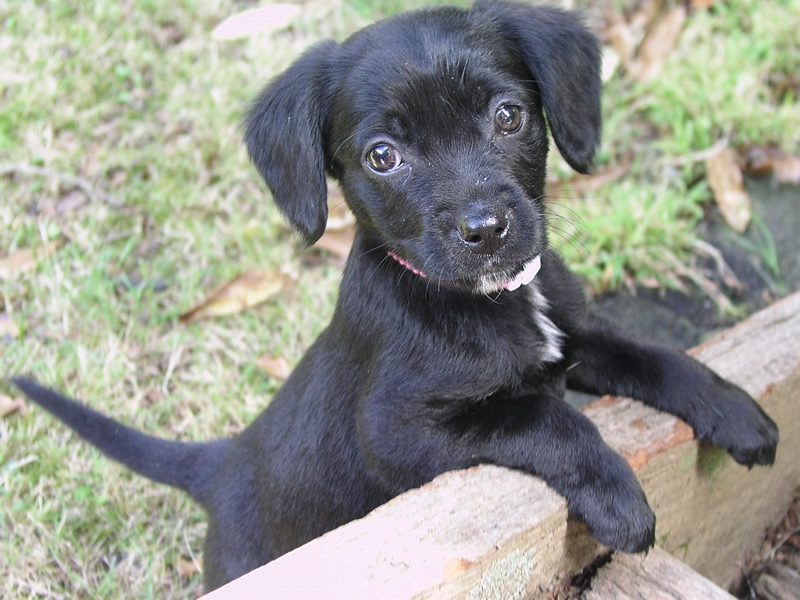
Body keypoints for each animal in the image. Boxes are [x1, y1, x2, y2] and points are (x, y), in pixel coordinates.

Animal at [12, 0, 780, 592]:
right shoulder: (399, 435)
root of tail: (224, 460)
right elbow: (543, 418)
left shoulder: (576, 337)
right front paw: (619, 496)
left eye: (509, 116)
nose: (486, 229)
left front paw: (736, 409)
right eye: (383, 156)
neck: (492, 301)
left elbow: (659, 357)